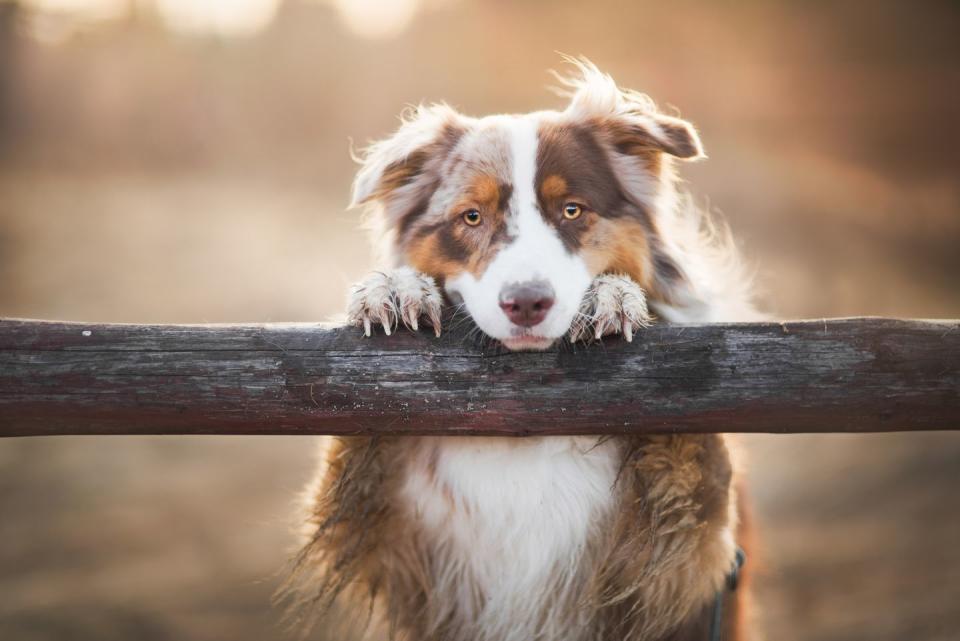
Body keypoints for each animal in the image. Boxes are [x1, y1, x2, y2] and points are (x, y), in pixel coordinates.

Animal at [284, 61, 756, 640]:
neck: (525, 426)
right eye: (471, 217)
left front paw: (612, 296)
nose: (527, 302)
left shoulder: (681, 564)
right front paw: (394, 288)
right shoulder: (393, 542)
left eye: (572, 210)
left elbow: (694, 451)